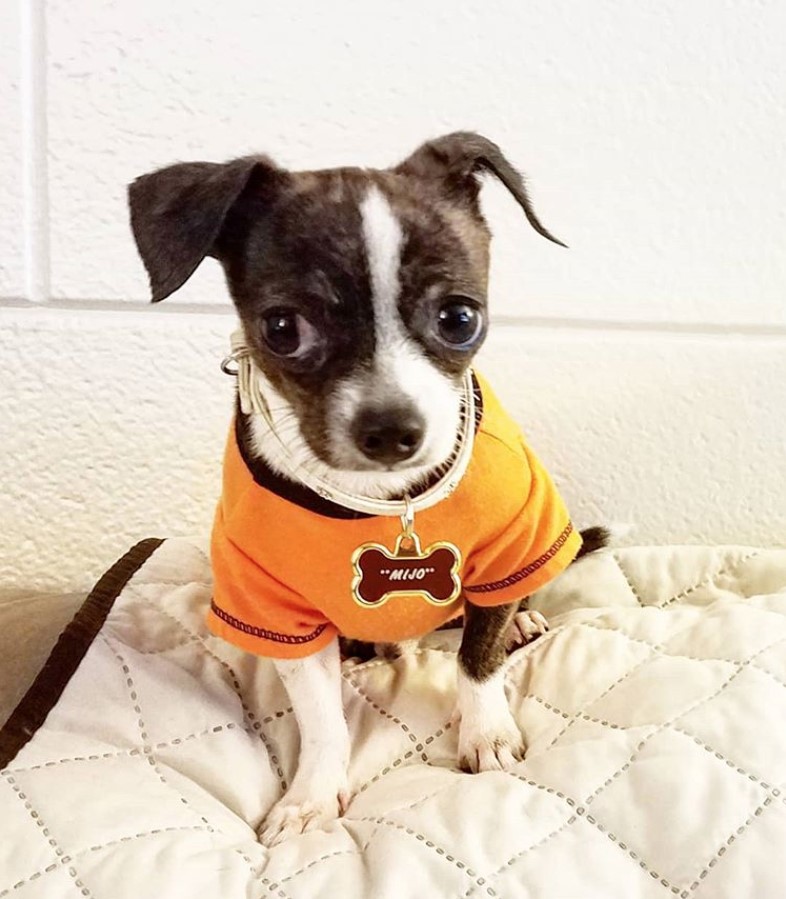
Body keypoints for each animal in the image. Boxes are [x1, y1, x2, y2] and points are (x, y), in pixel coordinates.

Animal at [130, 132, 608, 844]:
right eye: (282, 329)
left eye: (459, 318)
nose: (391, 430)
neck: (388, 499)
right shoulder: (275, 612)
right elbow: (321, 718)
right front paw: (310, 797)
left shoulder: (511, 544)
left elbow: (478, 660)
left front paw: (487, 734)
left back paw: (519, 621)